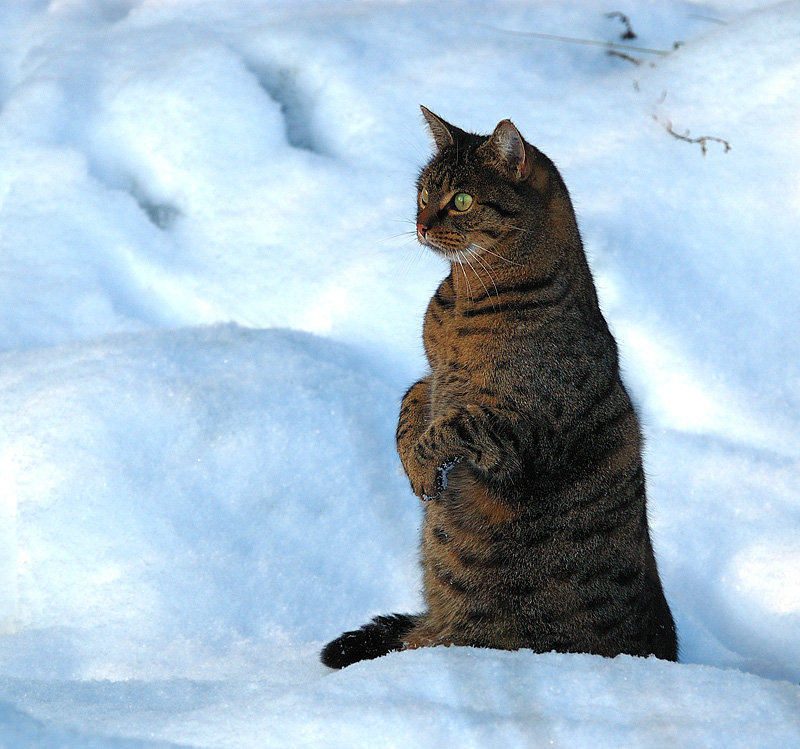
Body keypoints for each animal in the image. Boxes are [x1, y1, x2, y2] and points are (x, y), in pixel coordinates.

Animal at [318, 105, 676, 668]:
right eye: (424, 191)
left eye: (461, 200)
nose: (420, 224)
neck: (463, 301)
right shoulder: (432, 372)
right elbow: (412, 398)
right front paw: (410, 457)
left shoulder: (521, 435)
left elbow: (450, 426)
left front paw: (422, 467)